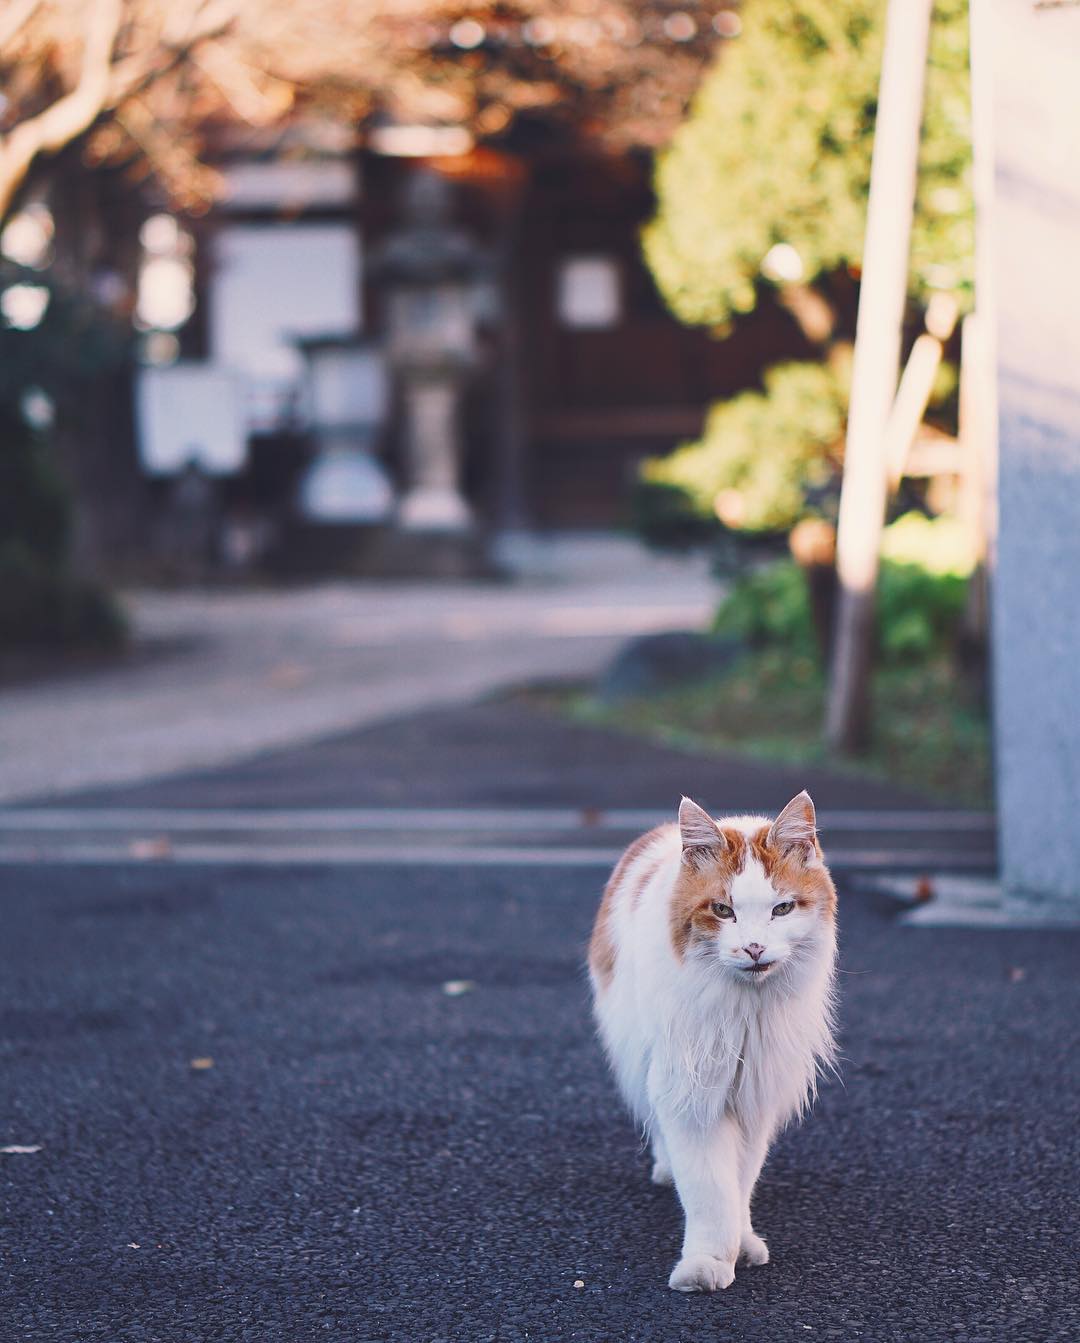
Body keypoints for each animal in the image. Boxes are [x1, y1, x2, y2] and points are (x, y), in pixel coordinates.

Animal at [591, 784, 832, 1289]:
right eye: (723, 910)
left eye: (782, 909)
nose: (754, 948)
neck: (743, 1010)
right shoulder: (690, 1092)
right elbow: (709, 1189)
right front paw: (707, 1264)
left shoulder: (752, 1094)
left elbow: (738, 1184)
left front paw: (741, 1243)